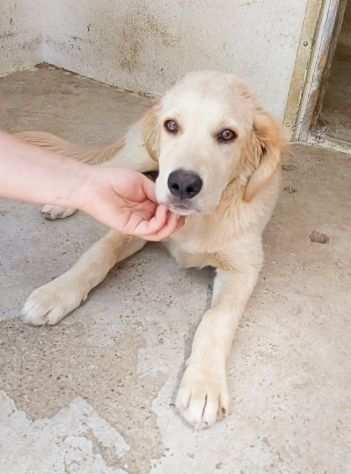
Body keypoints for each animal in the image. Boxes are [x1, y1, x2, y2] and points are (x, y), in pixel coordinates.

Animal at [17, 70, 286, 430]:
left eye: (227, 135)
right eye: (172, 126)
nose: (182, 184)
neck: (199, 220)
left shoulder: (244, 267)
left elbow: (216, 318)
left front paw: (203, 386)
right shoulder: (134, 226)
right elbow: (97, 254)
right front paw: (57, 292)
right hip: (138, 155)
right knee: (101, 171)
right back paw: (60, 203)